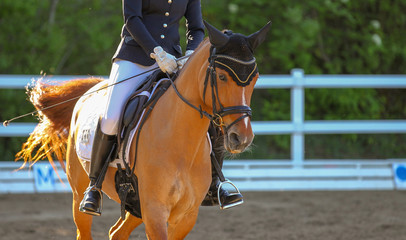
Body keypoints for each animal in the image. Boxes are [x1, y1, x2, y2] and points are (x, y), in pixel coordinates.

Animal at [15, 21, 272, 239]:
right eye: (221, 76)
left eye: (255, 78)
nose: (242, 138)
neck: (179, 142)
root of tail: (92, 88)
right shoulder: (155, 211)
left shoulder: (185, 216)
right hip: (80, 194)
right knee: (85, 227)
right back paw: (91, 198)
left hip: (134, 205)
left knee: (116, 233)